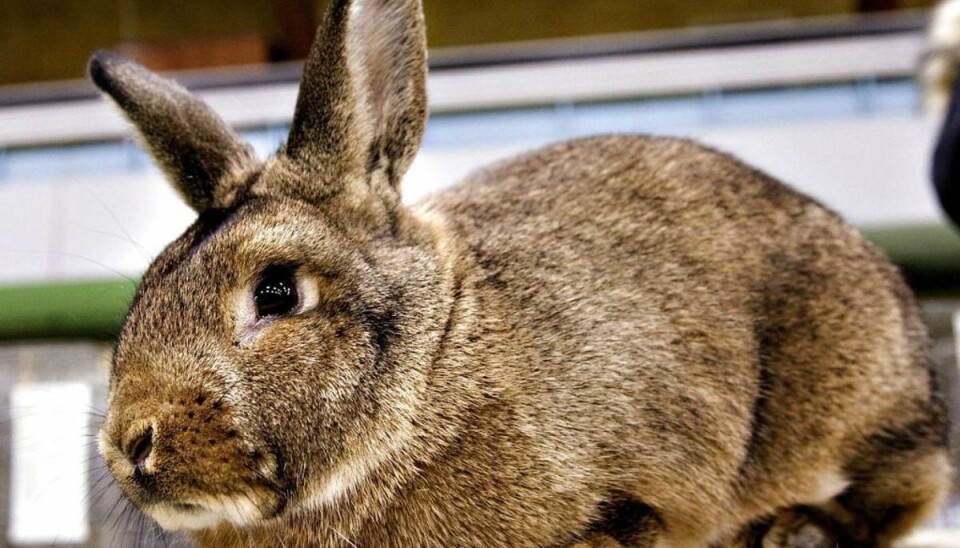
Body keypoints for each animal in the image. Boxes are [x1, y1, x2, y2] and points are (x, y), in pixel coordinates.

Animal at [90, 0, 952, 544]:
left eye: (276, 290)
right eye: (144, 295)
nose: (131, 444)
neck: (432, 372)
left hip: (855, 397)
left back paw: (802, 531)